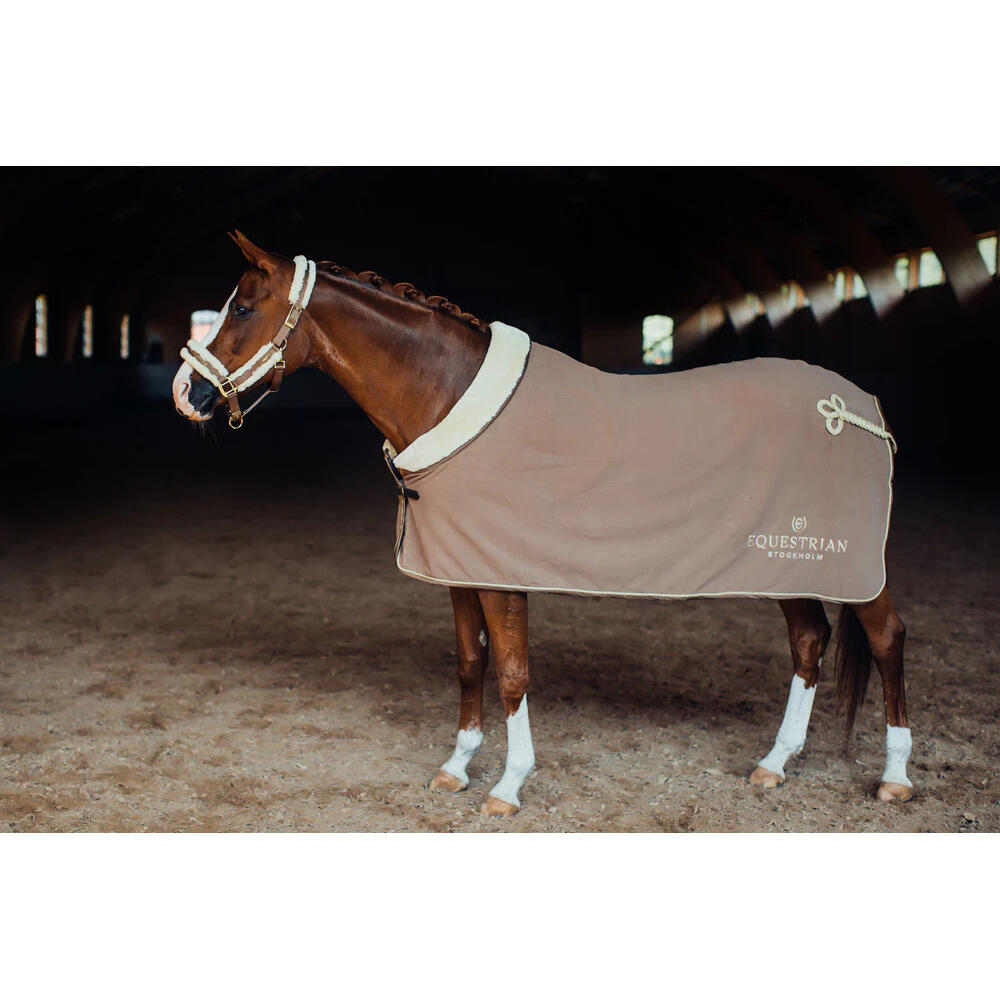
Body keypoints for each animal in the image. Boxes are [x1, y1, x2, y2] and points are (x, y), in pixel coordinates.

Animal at [171, 231, 913, 818]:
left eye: (242, 306)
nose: (186, 394)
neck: (449, 396)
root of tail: (859, 407)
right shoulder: (459, 569)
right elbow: (470, 663)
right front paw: (457, 766)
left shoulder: (502, 576)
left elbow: (511, 673)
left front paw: (508, 785)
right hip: (788, 562)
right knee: (810, 642)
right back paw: (776, 762)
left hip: (850, 566)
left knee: (885, 639)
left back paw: (895, 775)